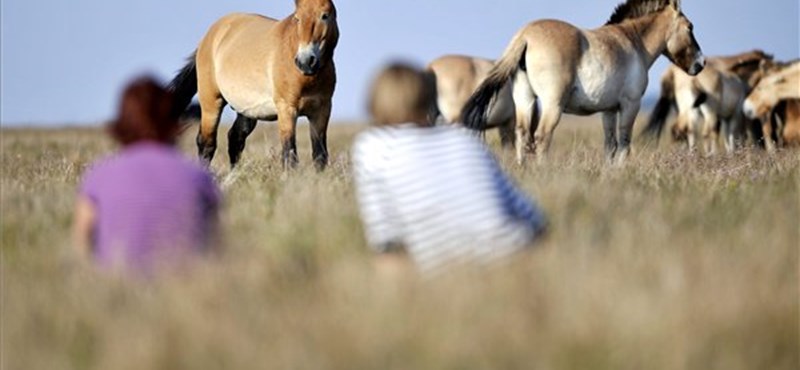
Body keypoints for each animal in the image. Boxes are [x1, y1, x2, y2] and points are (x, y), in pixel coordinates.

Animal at [170, 0, 340, 171]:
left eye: (325, 16)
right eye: (297, 18)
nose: (305, 62)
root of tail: (209, 36)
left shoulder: (321, 111)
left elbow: (320, 156)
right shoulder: (287, 109)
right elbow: (289, 155)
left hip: (246, 111)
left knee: (235, 139)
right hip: (211, 103)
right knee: (207, 144)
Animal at [460, 0, 704, 165]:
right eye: (690, 27)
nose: (701, 63)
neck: (633, 42)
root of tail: (526, 36)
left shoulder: (609, 110)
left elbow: (611, 145)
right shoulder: (630, 104)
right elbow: (625, 143)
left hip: (525, 100)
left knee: (521, 135)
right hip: (552, 105)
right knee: (541, 136)